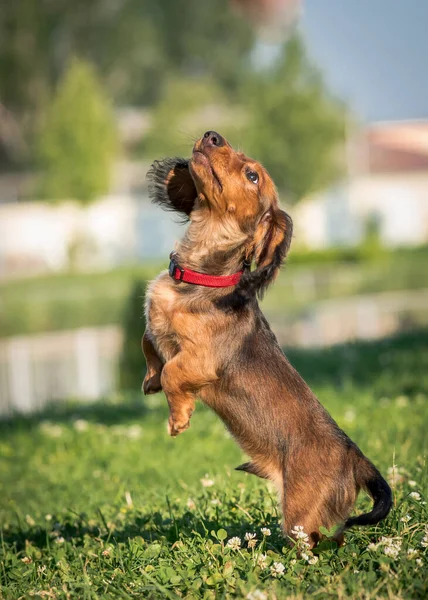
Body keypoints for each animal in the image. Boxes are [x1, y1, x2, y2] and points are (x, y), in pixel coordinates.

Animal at [142, 132, 392, 548]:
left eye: (252, 175)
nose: (212, 135)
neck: (200, 278)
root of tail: (356, 457)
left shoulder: (201, 360)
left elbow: (173, 372)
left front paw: (179, 417)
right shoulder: (155, 328)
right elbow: (149, 343)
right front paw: (148, 381)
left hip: (300, 515)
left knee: (322, 541)